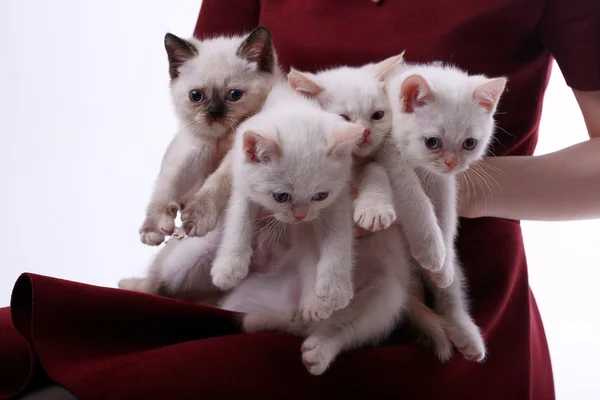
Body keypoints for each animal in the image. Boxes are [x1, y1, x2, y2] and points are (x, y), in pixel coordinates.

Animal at [209, 82, 364, 322]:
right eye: (281, 197)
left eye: (320, 195)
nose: (300, 215)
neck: (293, 106)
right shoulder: (243, 180)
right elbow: (239, 217)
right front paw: (229, 265)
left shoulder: (338, 196)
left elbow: (338, 235)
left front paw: (335, 287)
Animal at [384, 61, 506, 360]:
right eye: (432, 142)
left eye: (470, 143)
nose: (451, 162)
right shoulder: (387, 155)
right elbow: (413, 197)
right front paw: (430, 248)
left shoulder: (445, 183)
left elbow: (447, 217)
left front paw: (442, 259)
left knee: (451, 292)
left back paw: (464, 333)